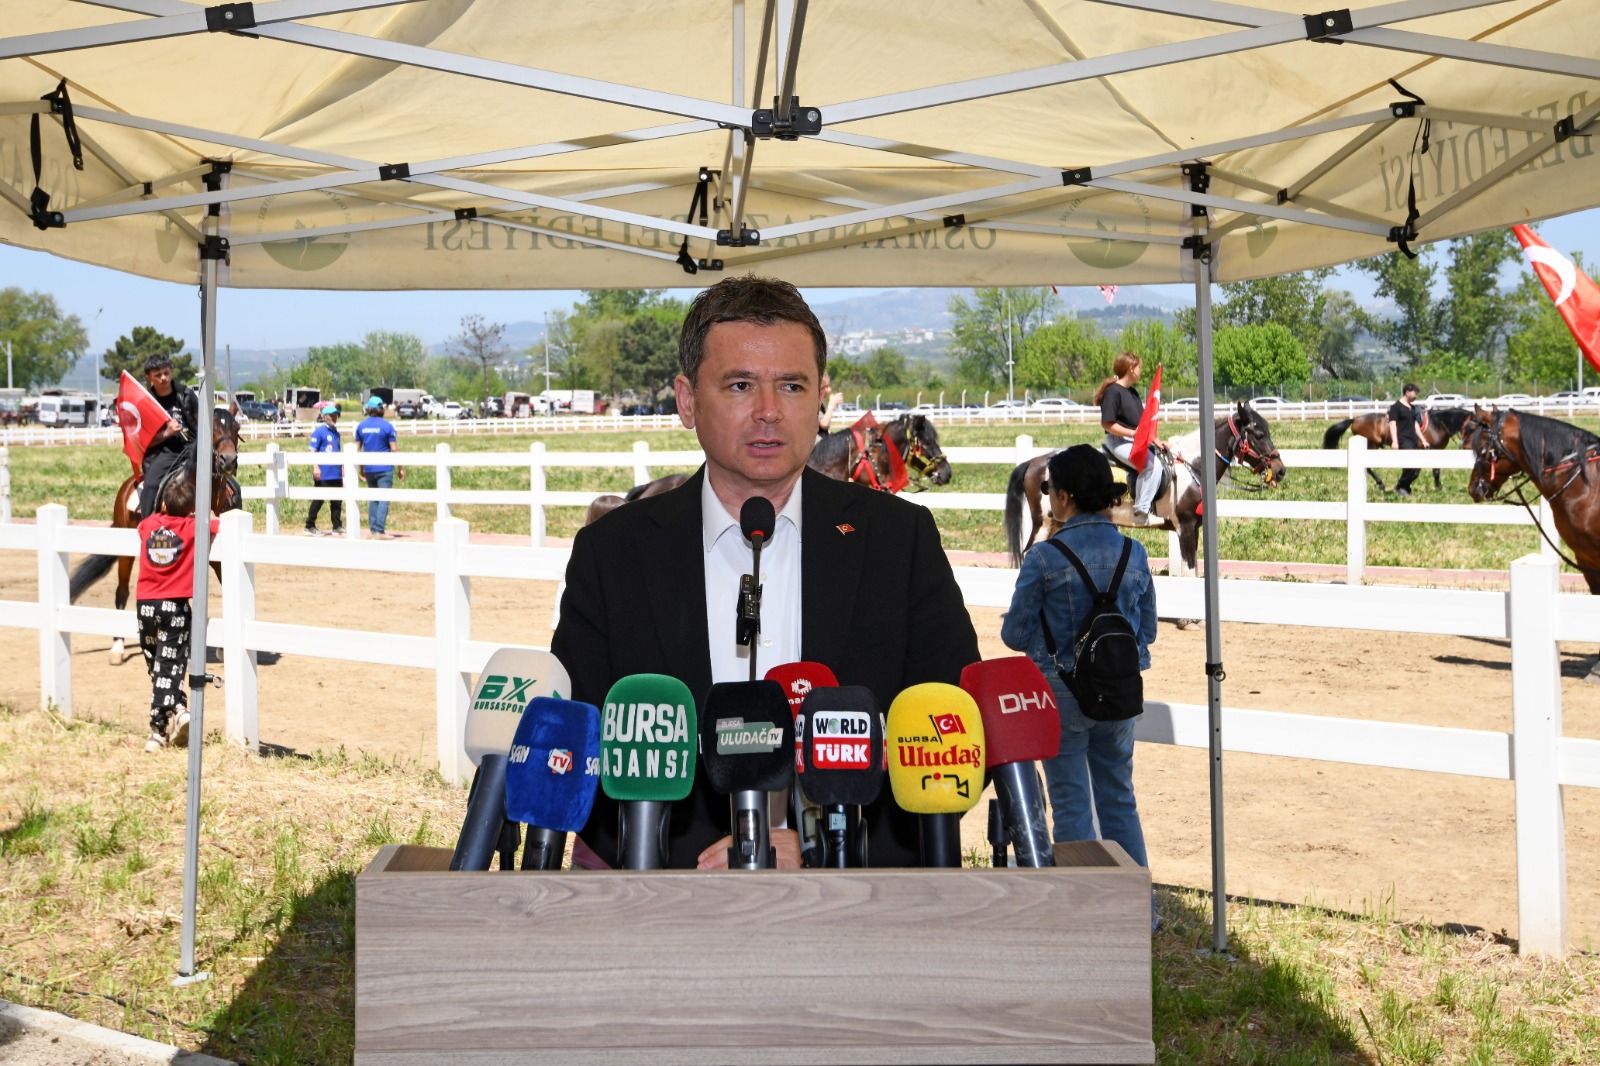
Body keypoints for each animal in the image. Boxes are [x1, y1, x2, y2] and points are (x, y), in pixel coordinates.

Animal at [69, 407, 243, 664]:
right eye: (210, 427)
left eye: (236, 428)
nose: (228, 460)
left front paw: (221, 648)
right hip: (126, 553)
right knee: (122, 592)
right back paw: (117, 648)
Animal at [1003, 401, 1287, 576]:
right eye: (1258, 434)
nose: (1280, 469)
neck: (1192, 466)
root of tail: (1035, 462)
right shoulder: (1185, 526)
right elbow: (1190, 570)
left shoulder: (1194, 527)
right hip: (1044, 523)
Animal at [1323, 407, 1475, 493]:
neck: (1437, 424)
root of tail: (1355, 419)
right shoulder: (1424, 450)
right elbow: (1418, 471)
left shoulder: (1434, 451)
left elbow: (1432, 471)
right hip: (1371, 445)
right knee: (1369, 467)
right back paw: (1381, 484)